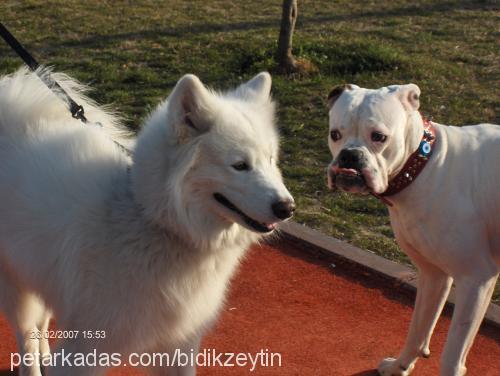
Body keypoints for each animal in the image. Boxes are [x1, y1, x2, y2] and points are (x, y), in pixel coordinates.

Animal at [0, 68, 294, 376]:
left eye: (270, 159)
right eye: (239, 165)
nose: (288, 208)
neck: (151, 220)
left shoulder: (179, 344)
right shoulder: (85, 348)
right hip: (15, 287)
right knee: (26, 334)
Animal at [326, 83, 498, 374]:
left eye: (379, 137)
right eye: (335, 134)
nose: (349, 155)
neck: (424, 166)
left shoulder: (476, 281)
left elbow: (452, 356)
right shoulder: (433, 275)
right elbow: (417, 330)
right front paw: (400, 366)